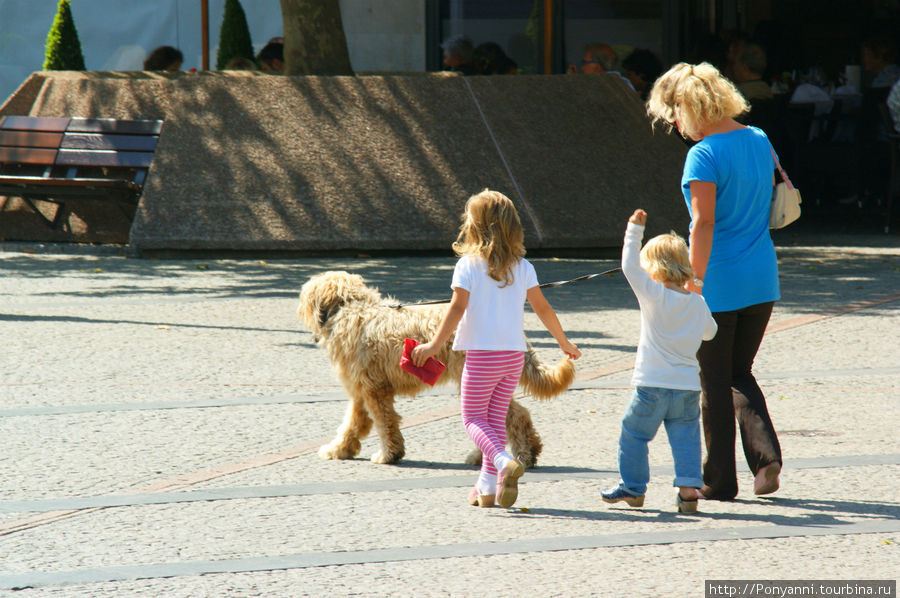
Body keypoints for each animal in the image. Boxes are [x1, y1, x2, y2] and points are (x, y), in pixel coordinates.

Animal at [298, 270, 576, 468]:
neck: (350, 308)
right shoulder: (362, 391)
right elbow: (353, 424)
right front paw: (340, 449)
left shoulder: (374, 390)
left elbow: (385, 423)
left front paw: (389, 454)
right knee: (507, 417)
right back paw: (515, 452)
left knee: (513, 416)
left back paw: (519, 454)